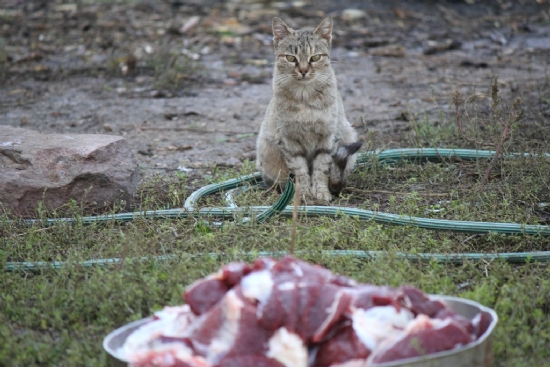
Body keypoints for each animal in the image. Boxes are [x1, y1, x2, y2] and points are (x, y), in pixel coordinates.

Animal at [258, 17, 364, 203]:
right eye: (290, 58)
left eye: (315, 57)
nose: (303, 70)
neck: (305, 97)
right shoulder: (289, 141)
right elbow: (300, 171)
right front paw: (305, 194)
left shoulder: (328, 138)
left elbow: (321, 169)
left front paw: (321, 192)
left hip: (348, 135)